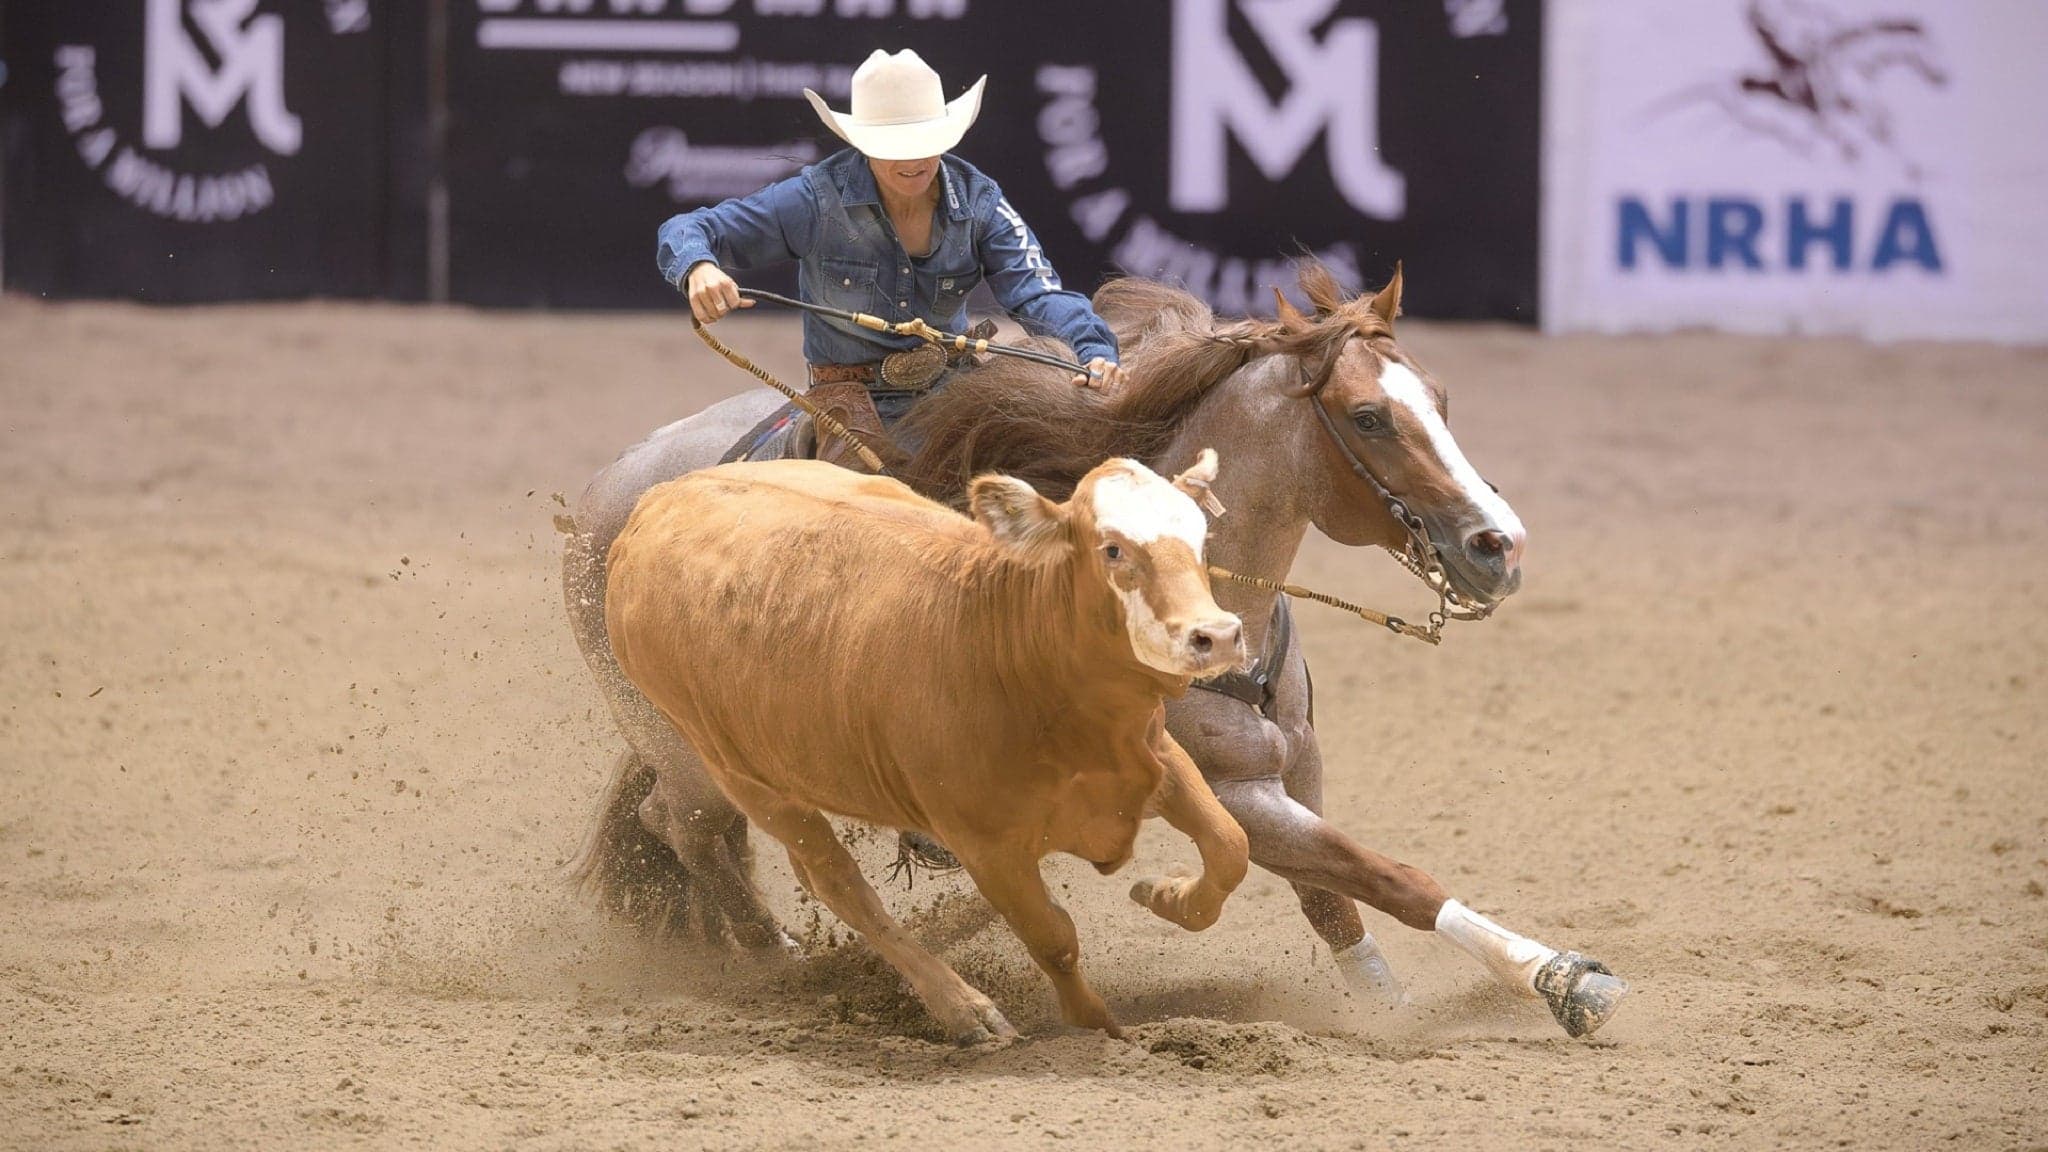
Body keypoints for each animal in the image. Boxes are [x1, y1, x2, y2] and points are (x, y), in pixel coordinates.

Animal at [602, 451, 1251, 1044]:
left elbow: (1230, 847)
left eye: (1201, 539)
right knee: (836, 882)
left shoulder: (1155, 760)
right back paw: (962, 1010)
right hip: (737, 771)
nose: (1217, 636)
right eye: (1113, 549)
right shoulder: (986, 847)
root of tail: (656, 502)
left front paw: (1167, 895)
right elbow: (1053, 939)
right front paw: (1098, 1029)